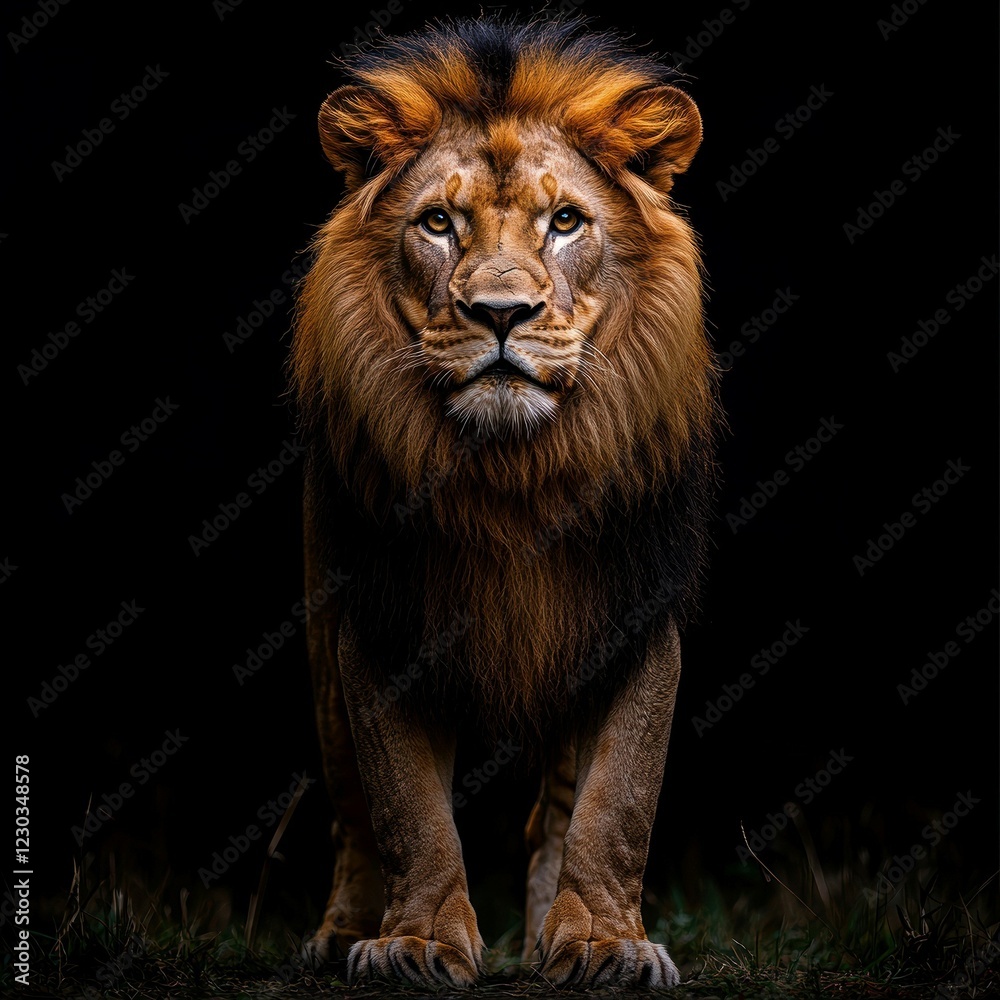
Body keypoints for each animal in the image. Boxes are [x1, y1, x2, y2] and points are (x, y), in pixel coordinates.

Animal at [291, 15, 718, 989]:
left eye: (564, 222)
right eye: (437, 223)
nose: (500, 312)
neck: (513, 476)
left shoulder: (635, 603)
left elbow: (620, 797)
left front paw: (606, 943)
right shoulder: (379, 616)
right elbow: (405, 806)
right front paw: (415, 942)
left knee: (557, 807)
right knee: (350, 808)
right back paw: (341, 930)